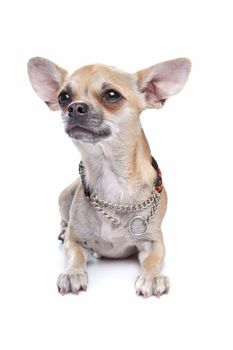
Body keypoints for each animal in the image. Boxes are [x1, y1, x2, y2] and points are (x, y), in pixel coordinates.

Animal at [27, 56, 191, 296]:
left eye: (112, 95)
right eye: (63, 97)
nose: (74, 107)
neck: (110, 175)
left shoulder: (154, 242)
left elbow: (152, 259)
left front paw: (151, 276)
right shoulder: (75, 241)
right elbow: (75, 255)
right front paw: (73, 273)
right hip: (64, 196)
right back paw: (62, 229)